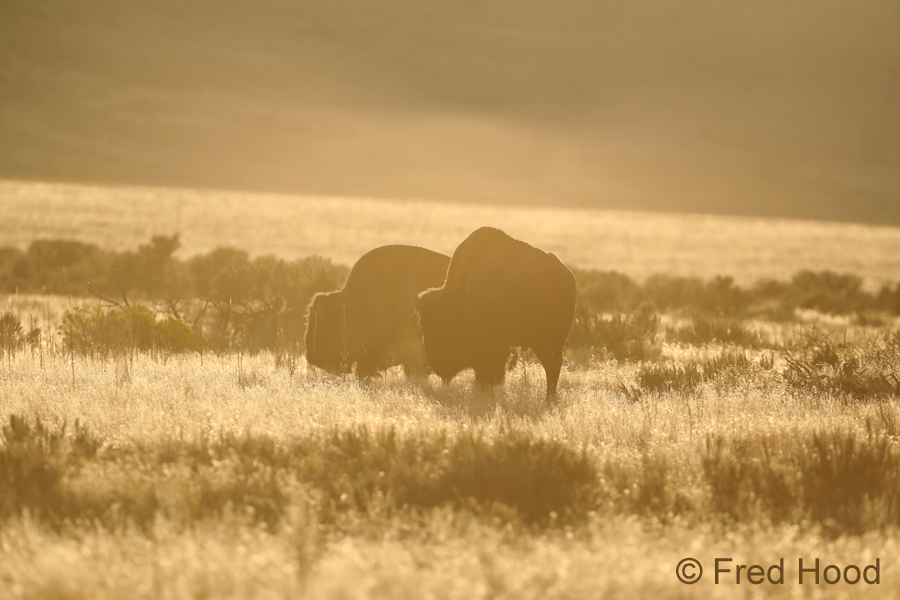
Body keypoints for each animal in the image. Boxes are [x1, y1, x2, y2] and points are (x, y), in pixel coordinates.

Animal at [415, 227, 576, 401]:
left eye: (427, 328)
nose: (433, 363)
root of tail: (556, 272)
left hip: (539, 338)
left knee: (550, 363)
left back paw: (548, 399)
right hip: (557, 339)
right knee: (556, 363)